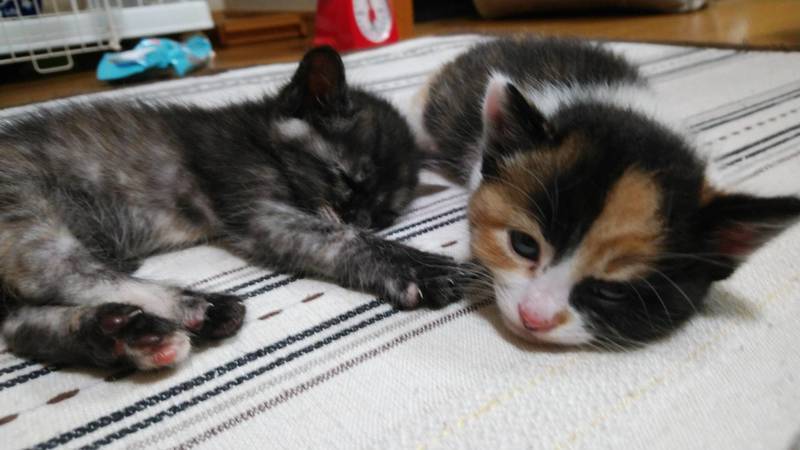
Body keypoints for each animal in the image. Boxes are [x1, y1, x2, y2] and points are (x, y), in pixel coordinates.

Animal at [0, 46, 464, 370]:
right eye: (346, 180)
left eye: (385, 215)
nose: (363, 218)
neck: (261, 135)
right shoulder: (257, 208)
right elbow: (341, 240)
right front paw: (418, 267)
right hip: (28, 214)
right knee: (66, 276)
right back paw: (196, 308)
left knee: (22, 325)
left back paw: (128, 334)